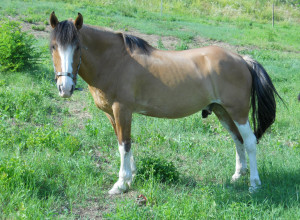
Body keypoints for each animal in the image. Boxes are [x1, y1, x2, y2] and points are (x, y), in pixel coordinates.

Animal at [49, 12, 282, 194]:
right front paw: (132, 176)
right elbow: (123, 143)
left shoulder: (122, 110)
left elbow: (124, 144)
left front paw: (121, 184)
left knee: (250, 142)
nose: (65, 88)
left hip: (238, 112)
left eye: (78, 46)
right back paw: (237, 176)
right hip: (222, 111)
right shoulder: (111, 113)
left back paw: (254, 184)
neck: (114, 61)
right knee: (237, 139)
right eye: (53, 46)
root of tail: (242, 59)